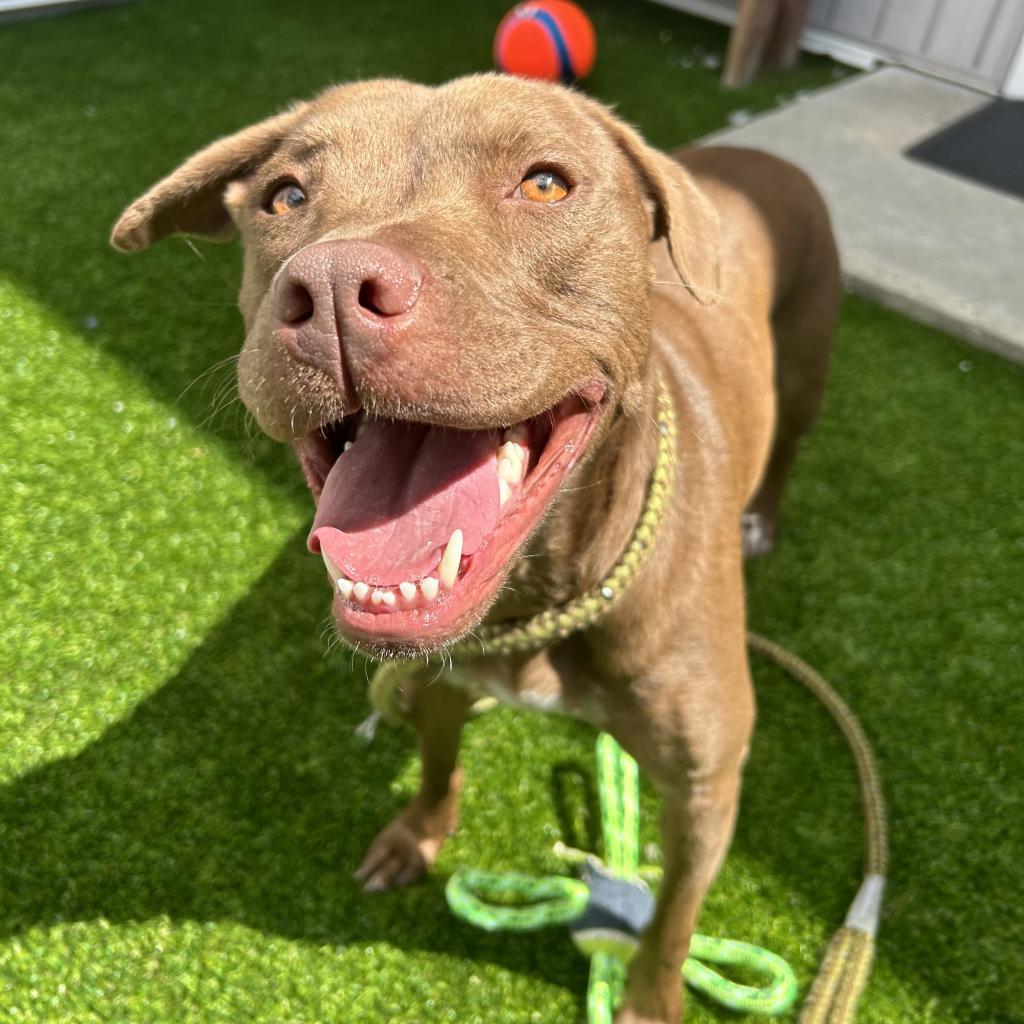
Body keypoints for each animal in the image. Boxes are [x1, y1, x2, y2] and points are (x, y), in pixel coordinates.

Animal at [112, 75, 835, 1019]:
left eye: (545, 184)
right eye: (286, 196)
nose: (334, 285)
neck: (547, 599)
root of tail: (762, 154)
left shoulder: (705, 793)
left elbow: (673, 923)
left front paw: (647, 1000)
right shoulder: (434, 683)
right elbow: (438, 767)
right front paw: (417, 838)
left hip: (807, 365)